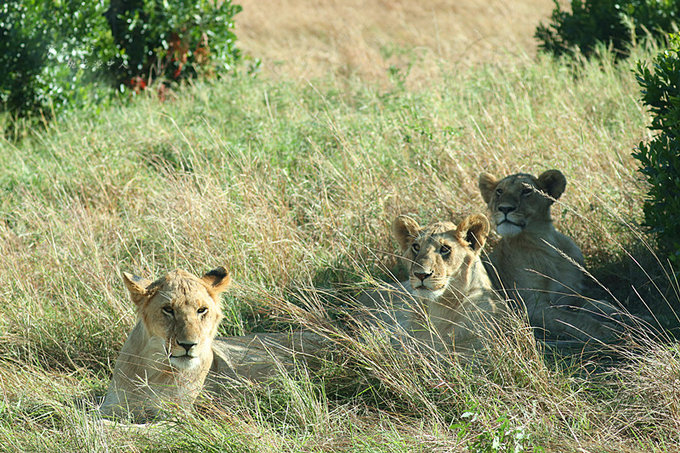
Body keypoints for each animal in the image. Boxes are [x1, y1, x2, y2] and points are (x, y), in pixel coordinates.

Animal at [478, 170, 620, 342]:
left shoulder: (570, 294)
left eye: (526, 191)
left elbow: (599, 303)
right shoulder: (531, 306)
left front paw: (622, 313)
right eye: (499, 191)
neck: (545, 242)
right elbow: (575, 318)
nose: (504, 208)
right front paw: (607, 330)